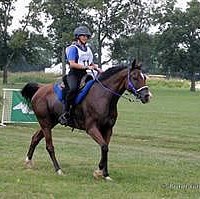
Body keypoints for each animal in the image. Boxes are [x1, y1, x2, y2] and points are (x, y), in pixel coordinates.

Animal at [21, 59, 150, 180]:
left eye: (144, 77)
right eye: (134, 77)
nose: (147, 96)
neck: (103, 97)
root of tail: (40, 88)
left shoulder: (108, 129)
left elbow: (105, 149)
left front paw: (105, 174)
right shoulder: (91, 128)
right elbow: (104, 147)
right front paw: (98, 172)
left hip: (51, 122)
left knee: (35, 138)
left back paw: (28, 162)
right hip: (45, 123)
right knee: (49, 146)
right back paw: (58, 170)